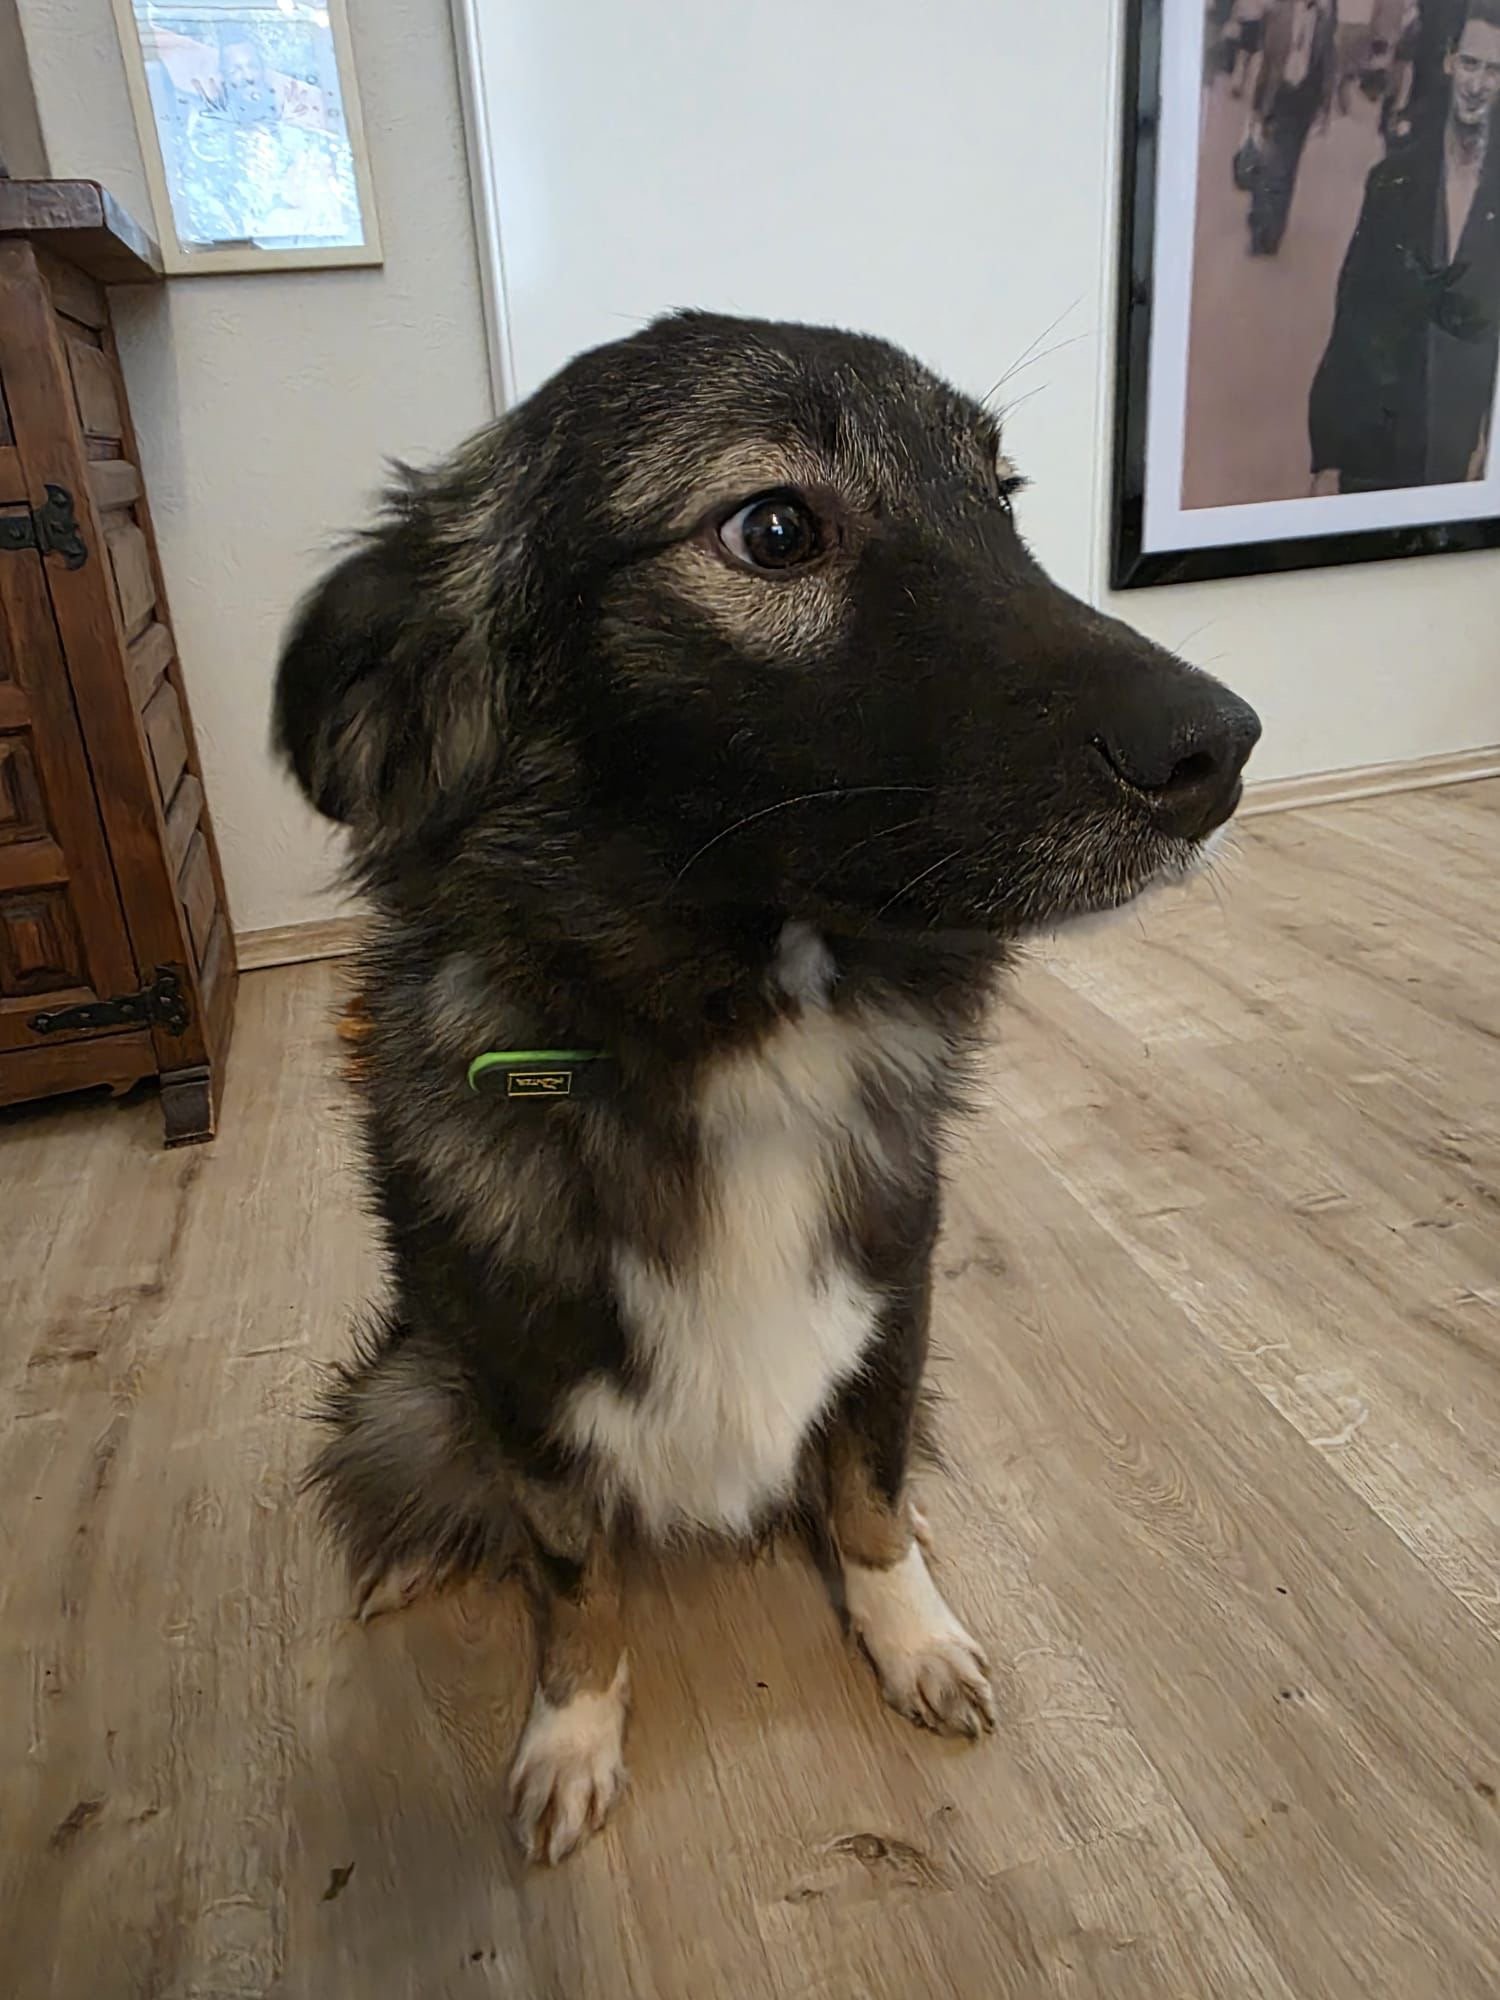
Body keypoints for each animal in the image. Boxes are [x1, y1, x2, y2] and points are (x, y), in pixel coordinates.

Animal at [273, 311, 1260, 1865]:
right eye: (776, 527)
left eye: (1002, 495)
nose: (1222, 754)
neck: (749, 1029)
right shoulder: (528, 1385)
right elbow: (574, 1579)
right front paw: (572, 1729)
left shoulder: (891, 1311)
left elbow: (869, 1499)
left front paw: (911, 1633)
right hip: (407, 1392)